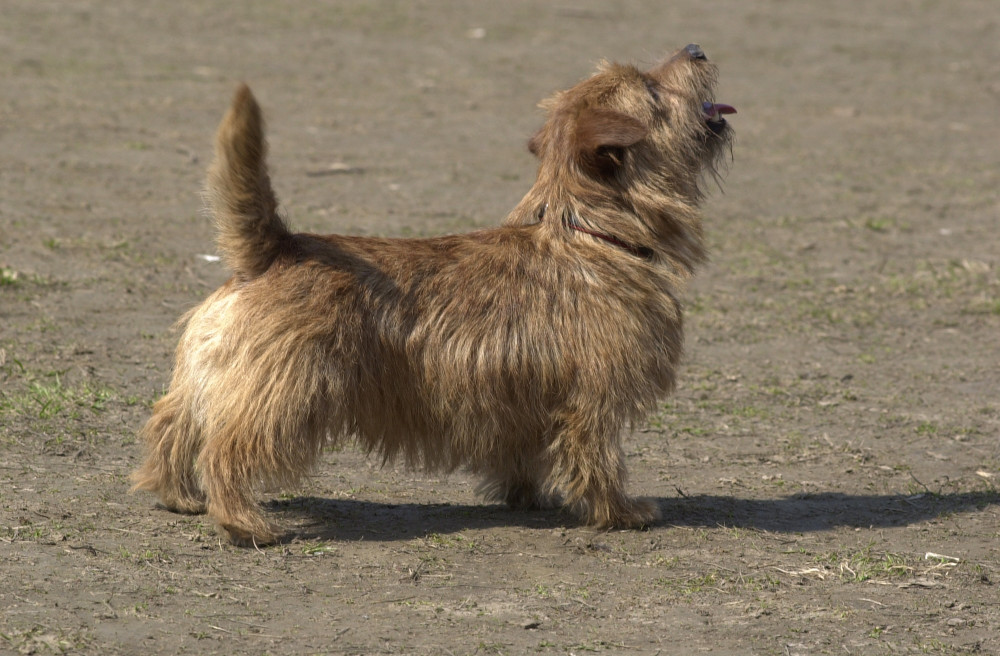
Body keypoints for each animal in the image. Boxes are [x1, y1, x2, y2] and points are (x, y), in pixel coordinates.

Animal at [131, 42, 736, 544]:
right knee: (226, 448)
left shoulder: (521, 396)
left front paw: (527, 497)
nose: (697, 47)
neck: (588, 230)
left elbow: (524, 453)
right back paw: (243, 522)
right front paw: (621, 512)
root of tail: (276, 248)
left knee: (171, 425)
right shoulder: (595, 396)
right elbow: (600, 458)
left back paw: (179, 496)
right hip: (285, 392)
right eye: (652, 88)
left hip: (210, 375)